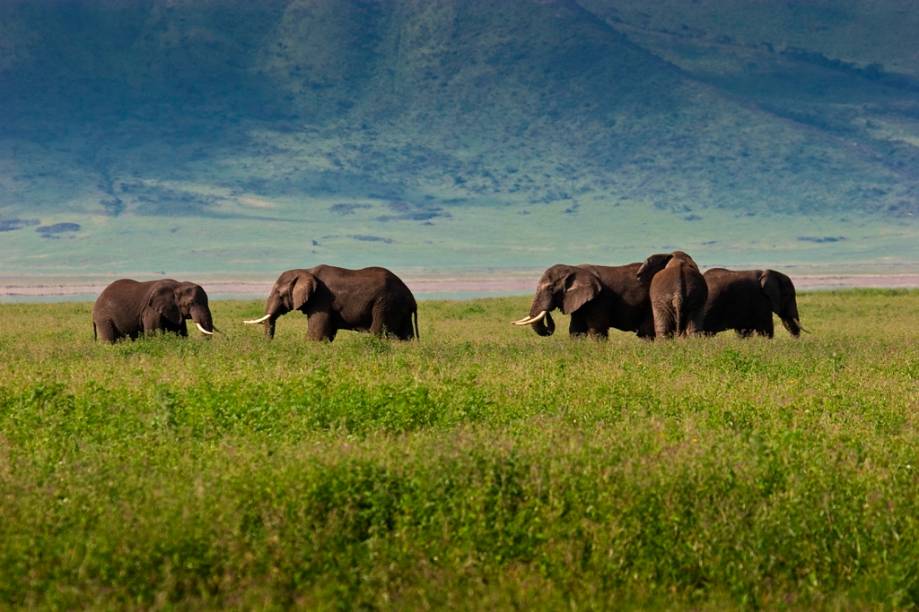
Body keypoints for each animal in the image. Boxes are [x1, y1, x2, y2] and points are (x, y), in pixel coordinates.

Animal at [243, 264, 418, 342]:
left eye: (279, 293)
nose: (269, 344)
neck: (306, 271)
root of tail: (412, 298)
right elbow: (328, 334)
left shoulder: (322, 299)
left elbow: (317, 334)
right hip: (398, 308)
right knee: (406, 337)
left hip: (385, 304)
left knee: (378, 333)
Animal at [510, 262, 656, 340]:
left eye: (550, 288)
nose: (548, 312)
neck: (573, 268)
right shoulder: (579, 301)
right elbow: (576, 329)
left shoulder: (599, 299)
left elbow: (597, 329)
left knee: (646, 333)